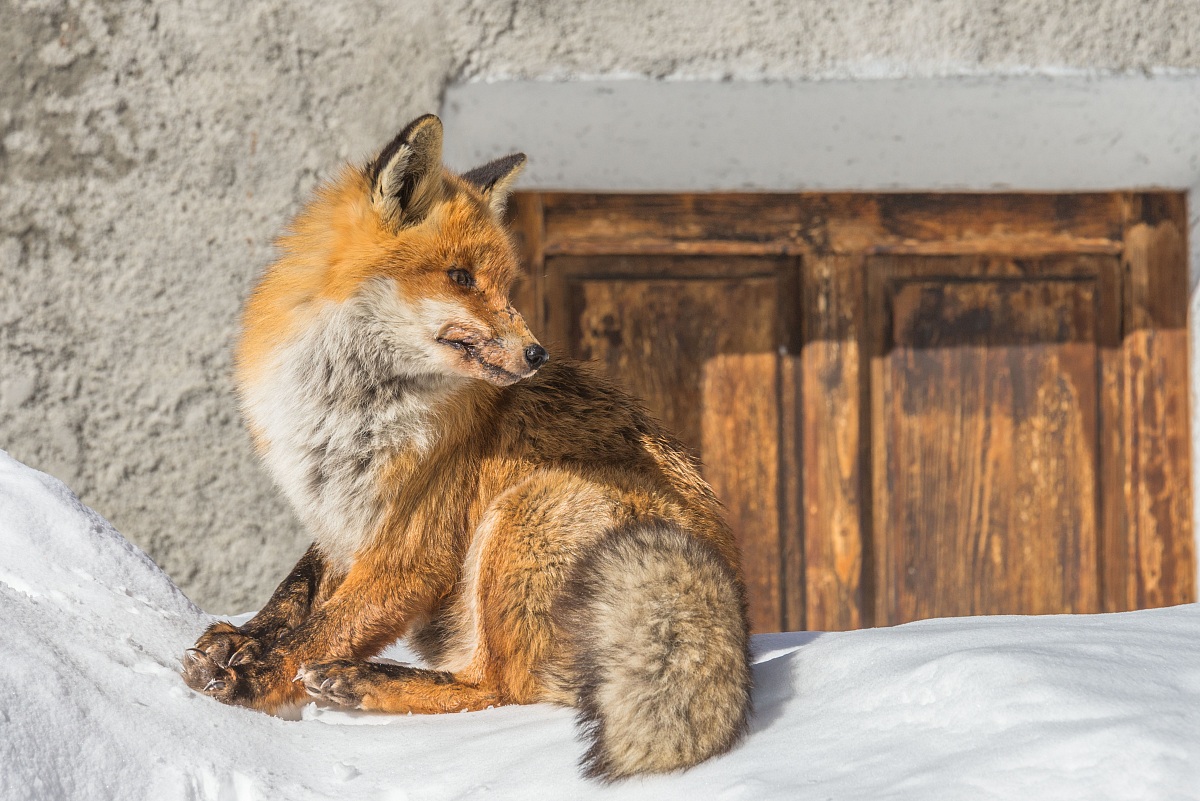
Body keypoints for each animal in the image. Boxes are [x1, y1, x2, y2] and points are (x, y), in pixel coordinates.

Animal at [181, 113, 752, 780]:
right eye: (460, 277)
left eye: (505, 284)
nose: (538, 354)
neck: (346, 409)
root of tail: (738, 613)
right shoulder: (338, 516)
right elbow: (293, 596)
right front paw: (241, 640)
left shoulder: (411, 546)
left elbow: (322, 630)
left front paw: (256, 674)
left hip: (527, 513)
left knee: (497, 688)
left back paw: (368, 681)